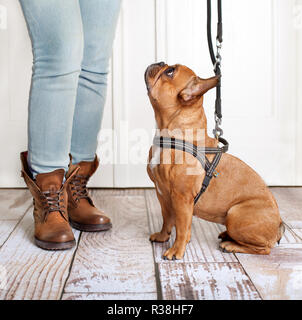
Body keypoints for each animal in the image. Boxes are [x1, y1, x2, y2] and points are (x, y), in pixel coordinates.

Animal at [145, 62, 284, 260]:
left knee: (264, 249)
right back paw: (227, 236)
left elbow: (181, 227)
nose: (160, 62)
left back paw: (231, 245)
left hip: (235, 214)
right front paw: (163, 236)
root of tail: (280, 224)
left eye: (170, 72)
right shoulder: (163, 194)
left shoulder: (181, 198)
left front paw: (176, 250)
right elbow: (167, 220)